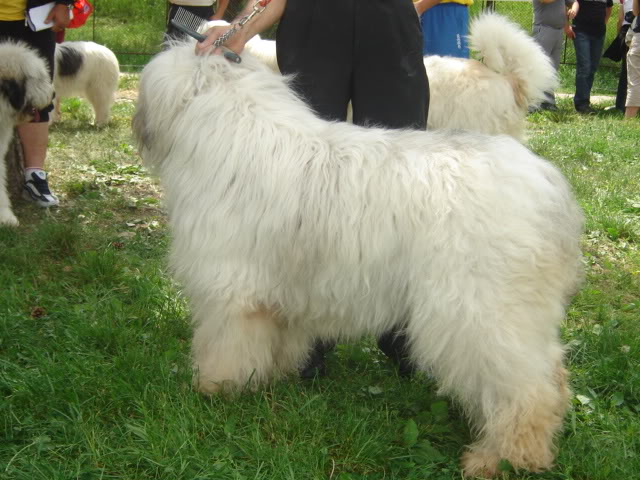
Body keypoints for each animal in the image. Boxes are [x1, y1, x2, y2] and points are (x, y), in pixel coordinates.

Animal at [132, 42, 584, 476]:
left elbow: (225, 346)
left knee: (526, 389)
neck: (233, 123)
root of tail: (548, 186)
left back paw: (503, 459)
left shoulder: (231, 290)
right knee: (551, 374)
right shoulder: (283, 292)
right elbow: (279, 341)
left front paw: (215, 388)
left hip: (479, 312)